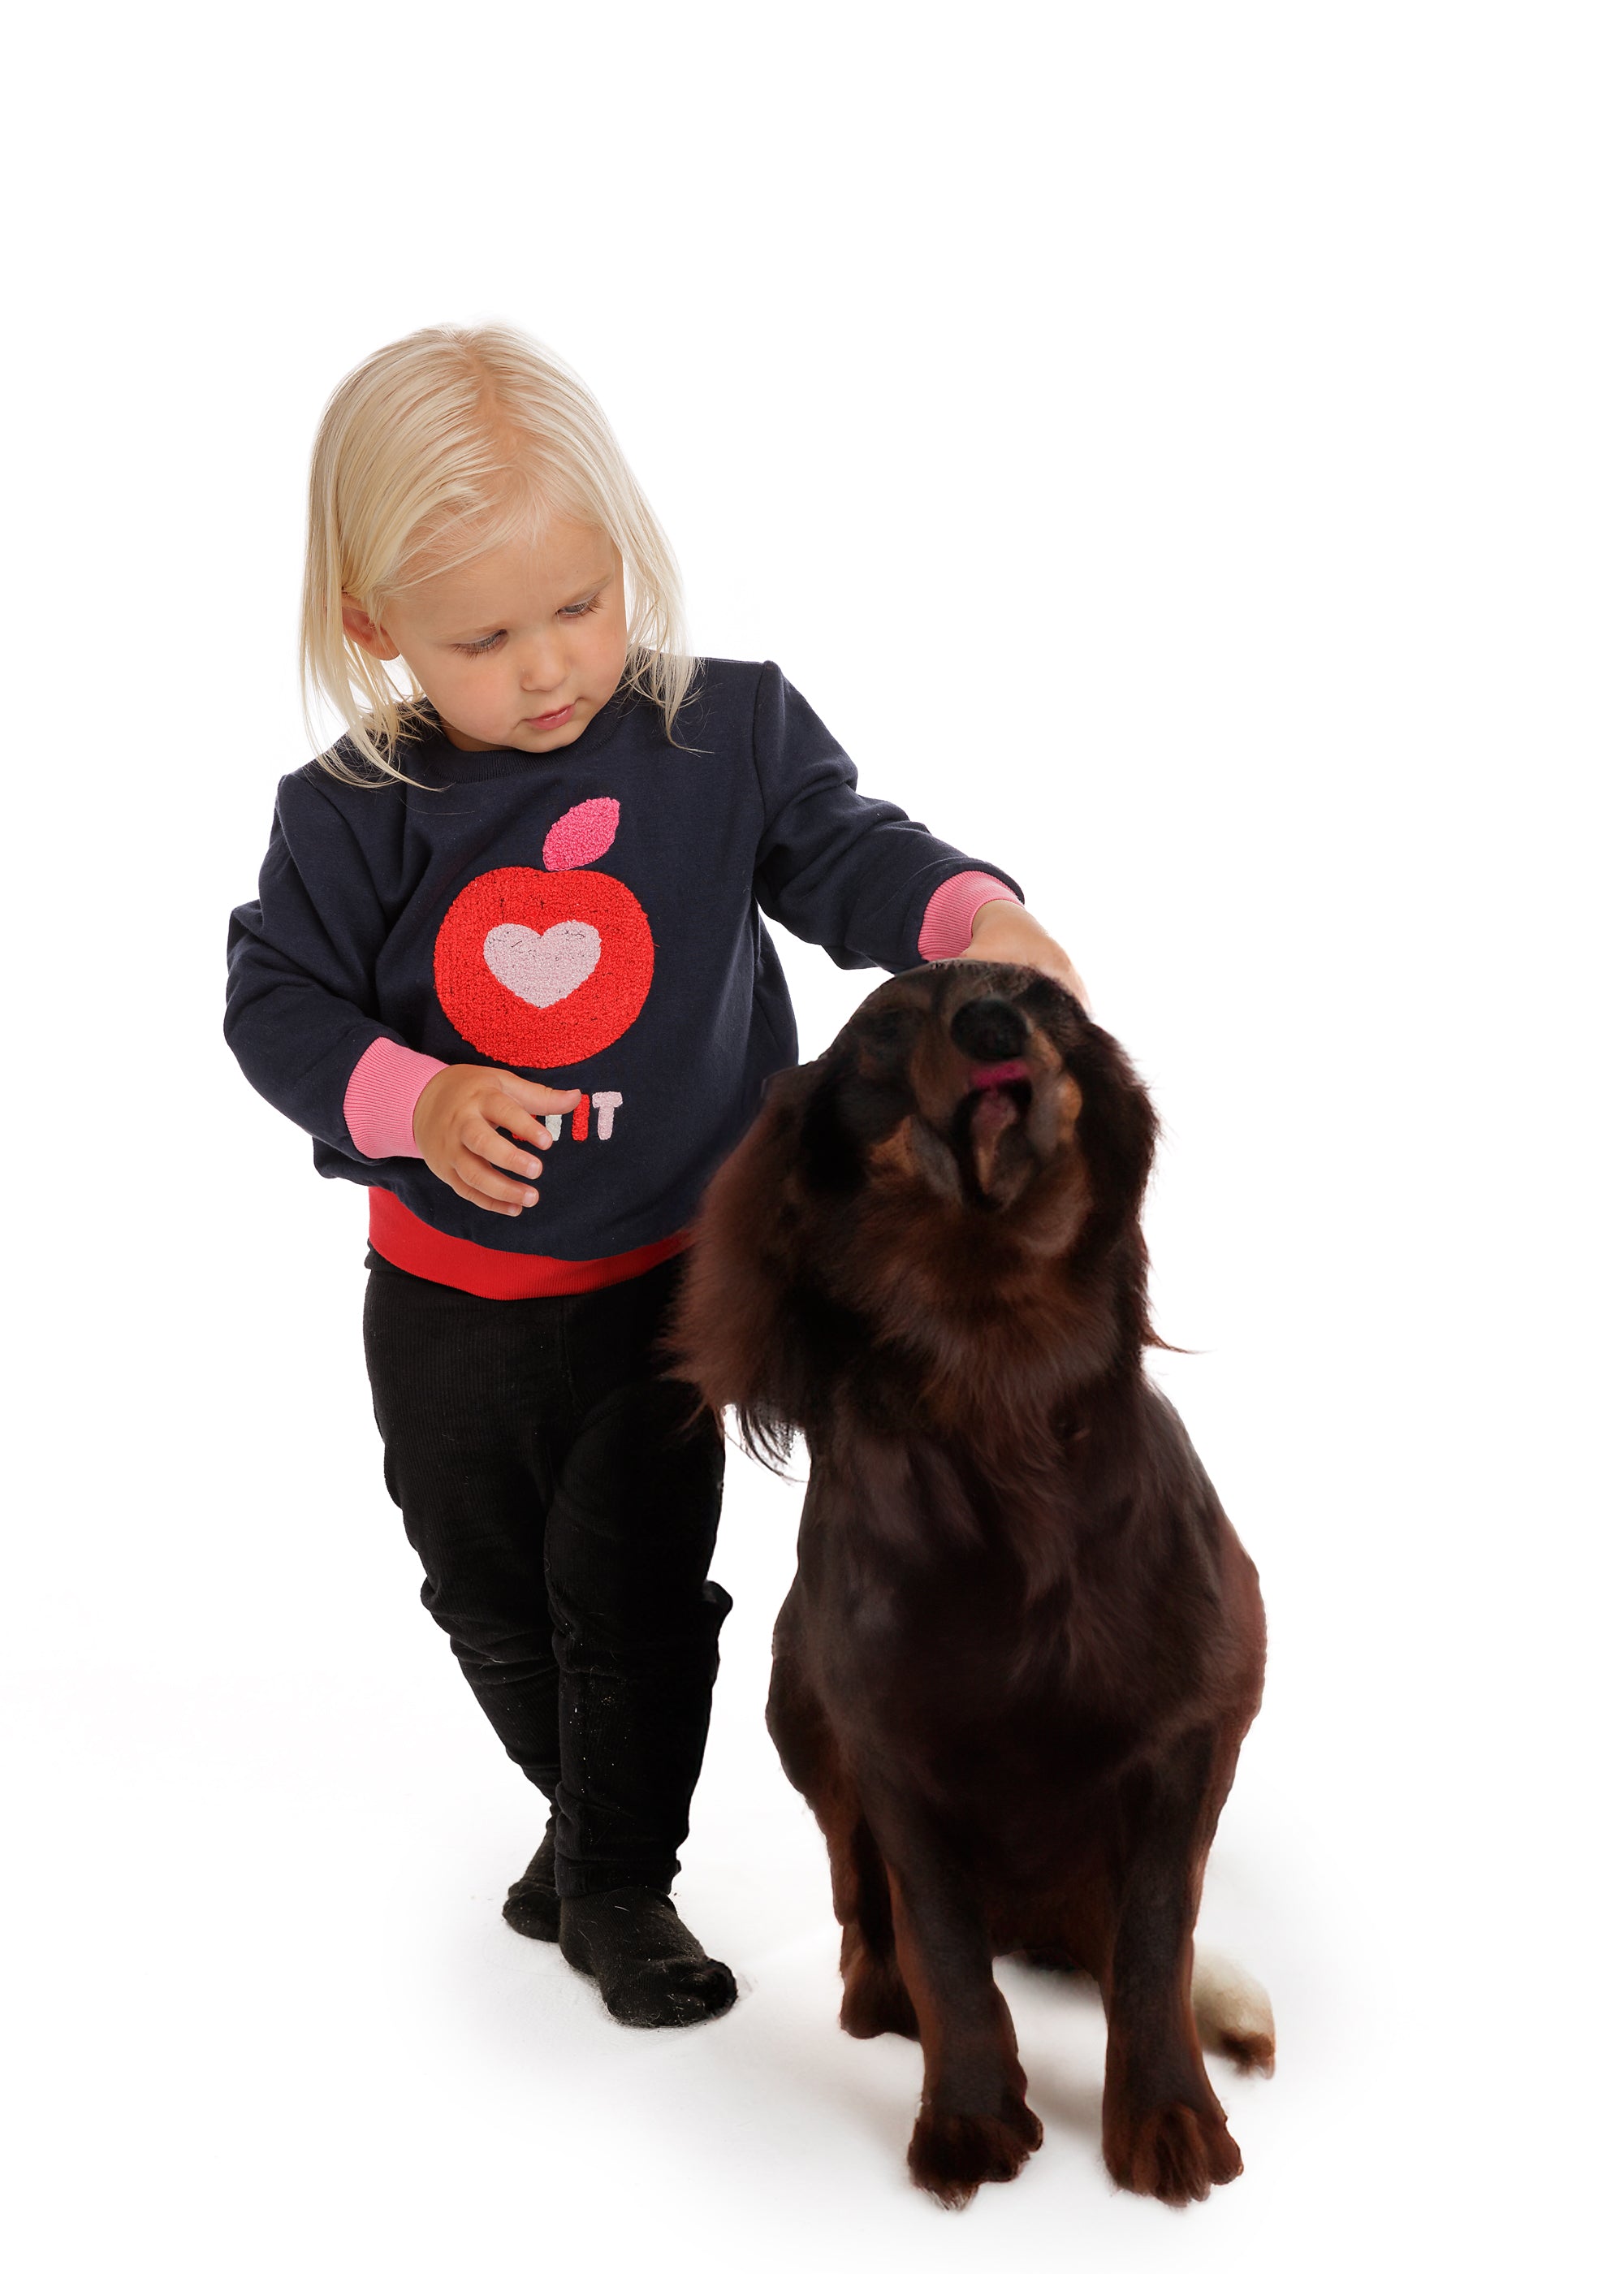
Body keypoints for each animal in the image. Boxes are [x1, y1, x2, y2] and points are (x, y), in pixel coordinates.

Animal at [668, 959, 1264, 2201]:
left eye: (1048, 1005)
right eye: (890, 1026)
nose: (994, 1026)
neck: (998, 1366)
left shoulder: (1193, 1727)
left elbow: (1154, 1946)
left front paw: (1169, 2118)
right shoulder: (892, 1745)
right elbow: (939, 1942)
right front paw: (970, 2117)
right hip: (797, 1711)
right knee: (862, 1902)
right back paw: (876, 1998)